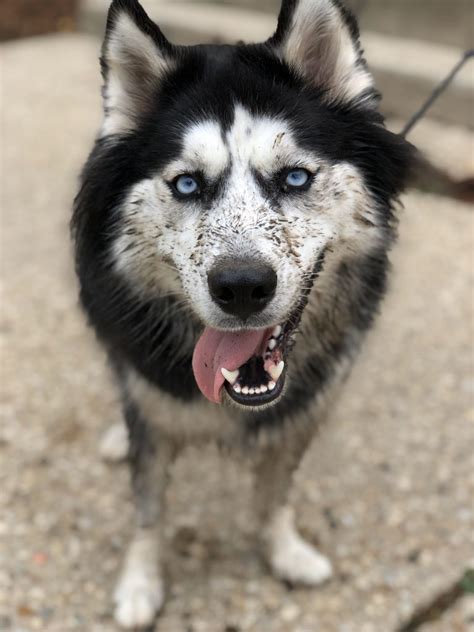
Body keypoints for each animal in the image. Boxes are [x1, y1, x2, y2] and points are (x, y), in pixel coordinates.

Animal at [72, 0, 412, 628]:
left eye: (295, 177)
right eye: (187, 184)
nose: (242, 287)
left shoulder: (302, 416)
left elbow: (274, 495)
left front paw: (284, 552)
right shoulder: (151, 408)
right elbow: (149, 506)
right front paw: (140, 582)